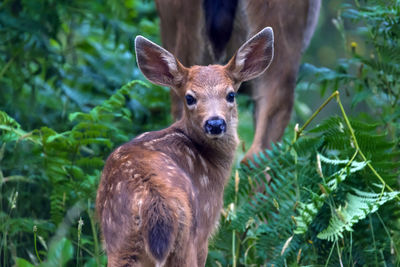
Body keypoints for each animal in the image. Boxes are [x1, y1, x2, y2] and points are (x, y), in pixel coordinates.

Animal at [95, 27, 274, 267]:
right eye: (190, 98)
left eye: (230, 94)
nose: (215, 123)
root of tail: (154, 204)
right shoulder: (207, 224)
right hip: (186, 239)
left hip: (119, 241)